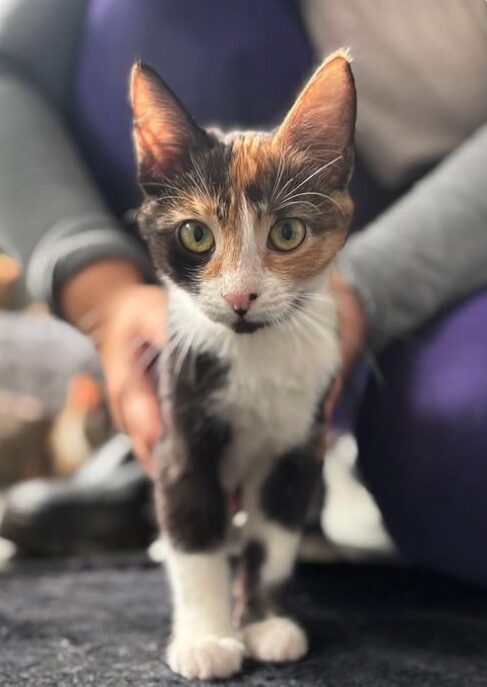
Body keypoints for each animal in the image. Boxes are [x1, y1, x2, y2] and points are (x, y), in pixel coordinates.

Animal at [132, 51, 356, 680]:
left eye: (287, 232)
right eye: (195, 234)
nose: (240, 297)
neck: (254, 353)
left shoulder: (298, 443)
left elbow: (272, 540)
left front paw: (264, 625)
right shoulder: (179, 436)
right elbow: (194, 537)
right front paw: (208, 639)